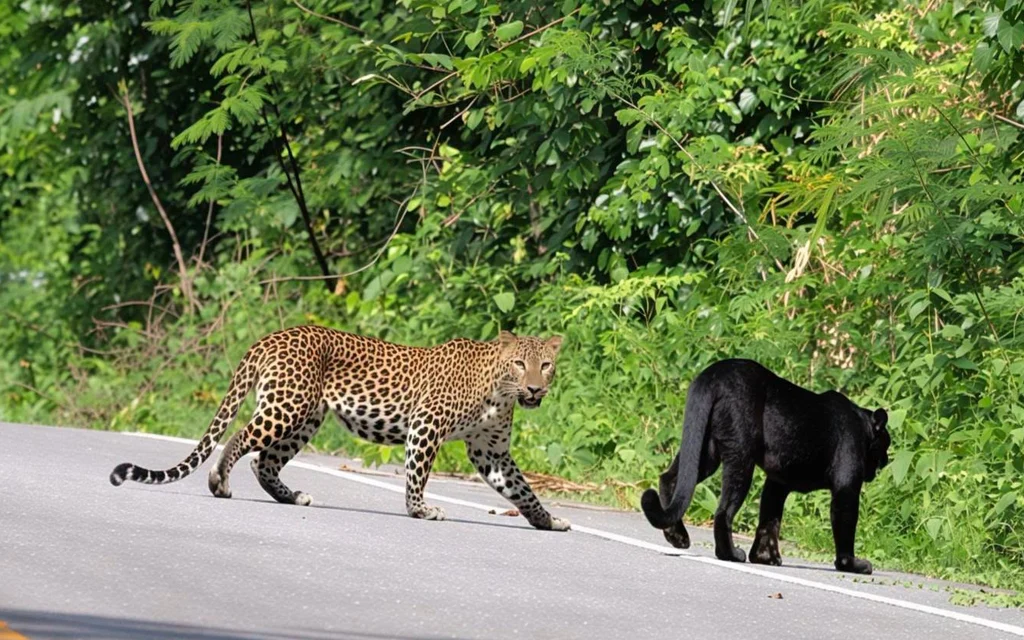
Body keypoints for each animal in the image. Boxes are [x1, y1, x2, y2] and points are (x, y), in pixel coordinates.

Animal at [109, 325, 570, 531]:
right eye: (519, 363)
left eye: (545, 365)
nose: (534, 388)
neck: (500, 392)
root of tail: (270, 337)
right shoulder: (427, 424)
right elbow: (417, 474)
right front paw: (421, 510)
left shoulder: (490, 452)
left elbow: (521, 489)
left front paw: (548, 520)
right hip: (287, 406)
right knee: (240, 438)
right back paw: (219, 482)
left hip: (306, 417)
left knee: (264, 461)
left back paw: (292, 497)